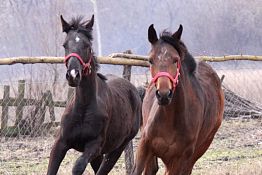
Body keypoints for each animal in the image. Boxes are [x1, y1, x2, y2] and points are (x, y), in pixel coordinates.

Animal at [46, 14, 142, 174]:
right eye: (65, 45)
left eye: (87, 46)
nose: (73, 75)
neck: (83, 107)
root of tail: (134, 91)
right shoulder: (60, 143)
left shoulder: (95, 146)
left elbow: (78, 166)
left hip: (117, 148)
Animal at [132, 23, 224, 174]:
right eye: (150, 60)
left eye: (176, 60)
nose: (164, 95)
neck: (170, 120)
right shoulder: (144, 147)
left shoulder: (179, 159)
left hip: (195, 153)